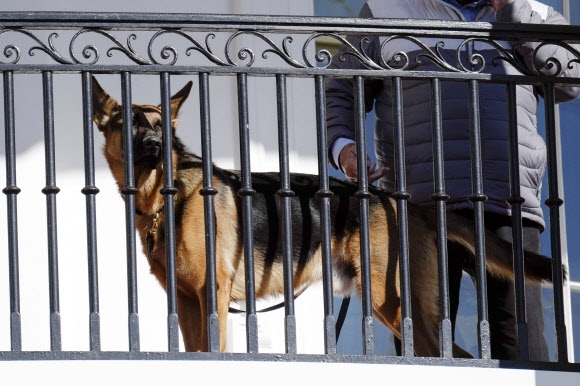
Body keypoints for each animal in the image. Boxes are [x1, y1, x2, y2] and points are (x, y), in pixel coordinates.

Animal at [92, 77, 556, 358]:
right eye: (128, 124)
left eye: (160, 128)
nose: (154, 146)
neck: (165, 197)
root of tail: (406, 202)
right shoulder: (189, 302)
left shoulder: (213, 296)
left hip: (391, 301)